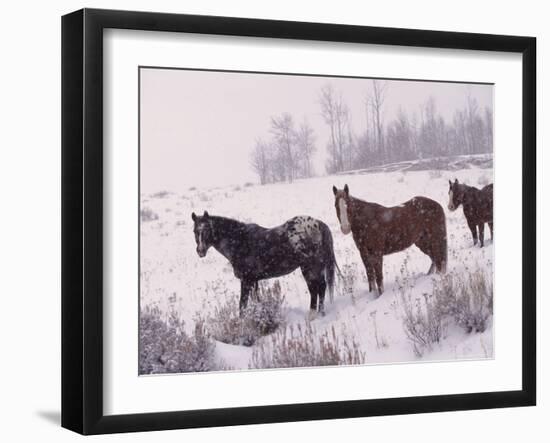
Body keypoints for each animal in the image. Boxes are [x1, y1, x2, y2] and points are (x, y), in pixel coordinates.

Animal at [194, 212, 340, 316]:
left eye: (207, 230)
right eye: (195, 231)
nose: (200, 251)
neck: (240, 240)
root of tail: (317, 224)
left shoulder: (246, 280)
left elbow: (242, 305)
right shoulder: (254, 281)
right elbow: (256, 300)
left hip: (309, 268)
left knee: (316, 288)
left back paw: (313, 315)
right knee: (320, 287)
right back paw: (320, 313)